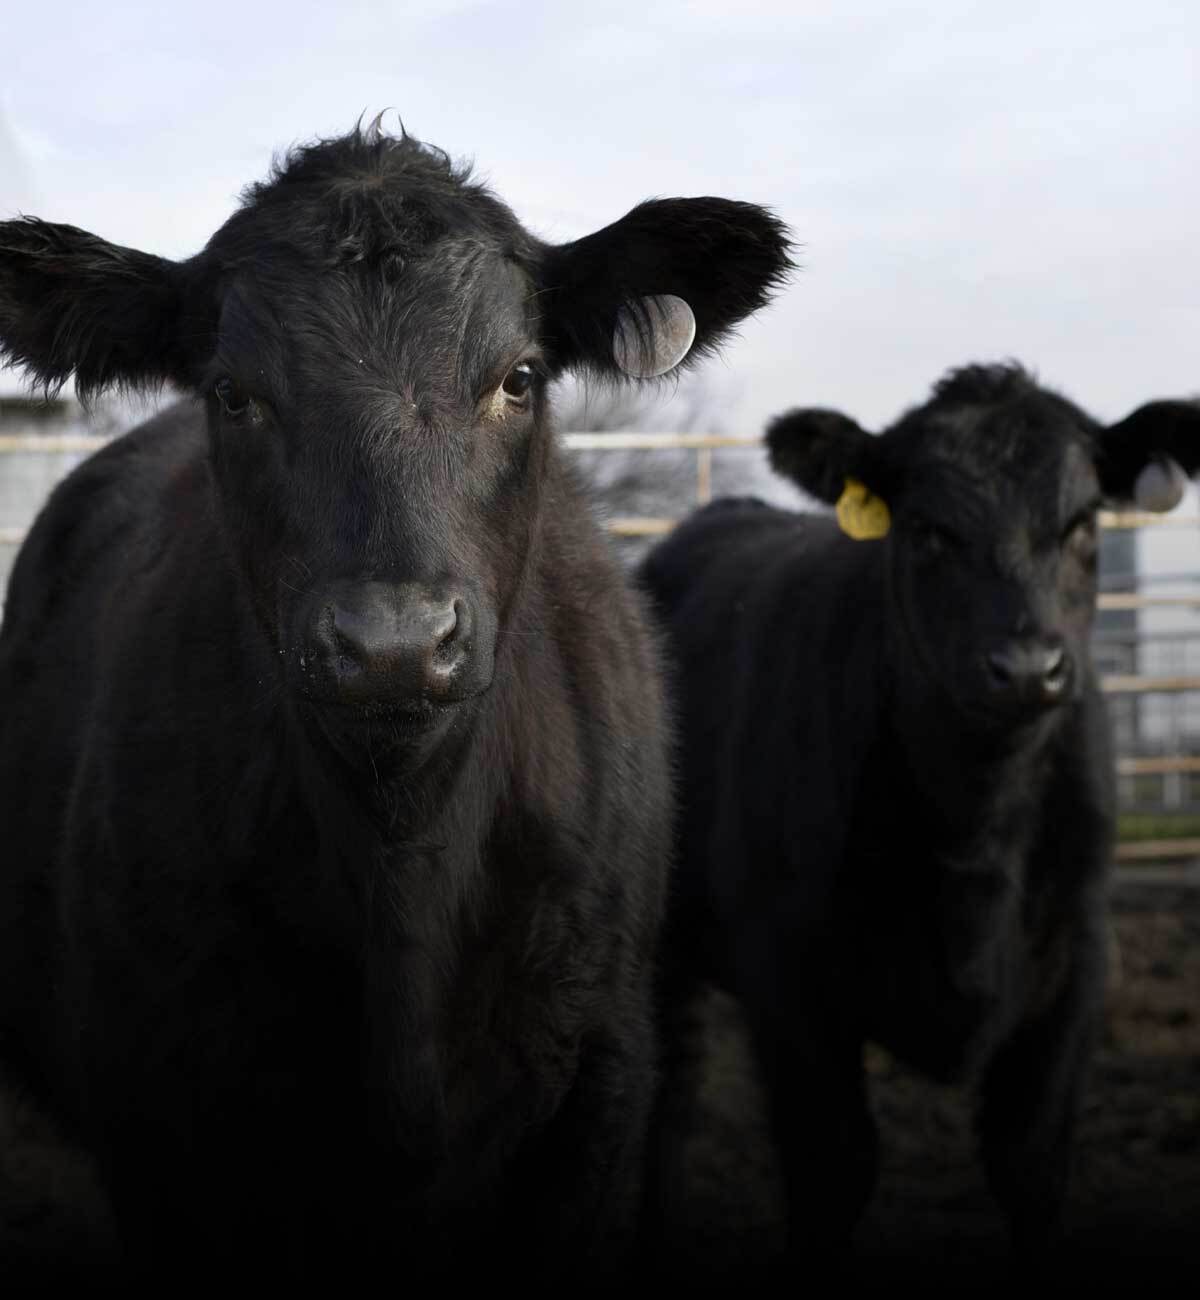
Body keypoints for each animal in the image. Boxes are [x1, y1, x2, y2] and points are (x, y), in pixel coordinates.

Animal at [639, 363, 1200, 1266]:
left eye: (1083, 523)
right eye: (930, 531)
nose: (1026, 667)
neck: (975, 834)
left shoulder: (1076, 965)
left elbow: (1029, 1164)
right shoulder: (788, 978)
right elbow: (832, 1170)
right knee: (665, 1098)